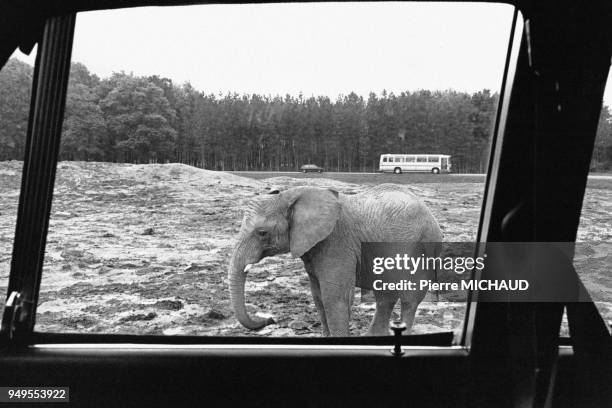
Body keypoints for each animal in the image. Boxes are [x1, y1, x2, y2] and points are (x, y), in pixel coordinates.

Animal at [227, 183, 442, 336]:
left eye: (262, 233)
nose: (270, 319)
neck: (291, 195)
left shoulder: (336, 243)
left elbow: (334, 297)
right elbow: (318, 296)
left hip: (422, 246)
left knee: (409, 297)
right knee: (385, 295)